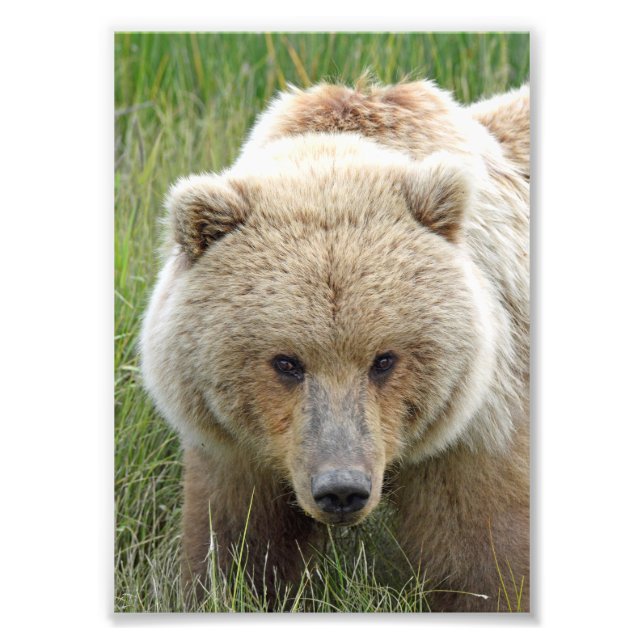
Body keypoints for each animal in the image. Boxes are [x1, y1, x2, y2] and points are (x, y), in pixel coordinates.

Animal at [140, 78, 530, 612]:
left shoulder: (478, 428)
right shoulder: (240, 450)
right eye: (286, 362)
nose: (342, 489)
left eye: (384, 359)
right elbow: (237, 542)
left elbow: (484, 560)